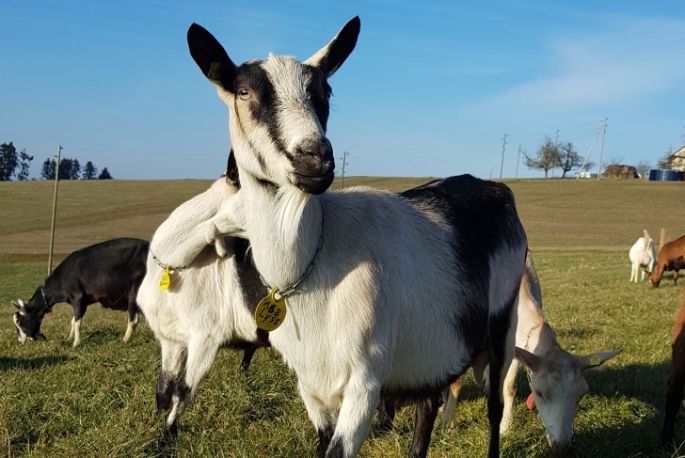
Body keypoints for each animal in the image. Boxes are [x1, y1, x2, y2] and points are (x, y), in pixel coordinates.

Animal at [11, 236, 147, 348]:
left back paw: (124, 341)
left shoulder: (77, 297)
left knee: (133, 320)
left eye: (20, 322)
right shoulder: (84, 302)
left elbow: (77, 323)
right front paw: (69, 338)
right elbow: (73, 321)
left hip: (135, 291)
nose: (20, 342)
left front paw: (75, 344)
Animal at [184, 15, 528, 458]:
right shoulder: (312, 388)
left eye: (325, 90)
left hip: (503, 324)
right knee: (428, 407)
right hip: (431, 351)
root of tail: (494, 188)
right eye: (244, 91)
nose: (315, 158)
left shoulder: (364, 384)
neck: (314, 265)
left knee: (494, 407)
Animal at [438, 252, 620, 452]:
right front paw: (449, 425)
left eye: (581, 395)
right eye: (539, 393)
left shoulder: (515, 344)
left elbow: (510, 385)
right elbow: (457, 382)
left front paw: (505, 427)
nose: (561, 445)